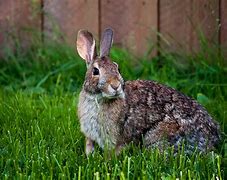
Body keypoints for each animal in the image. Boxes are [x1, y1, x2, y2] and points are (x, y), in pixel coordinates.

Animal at [76, 28, 220, 156]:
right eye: (96, 71)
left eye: (117, 68)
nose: (116, 85)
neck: (98, 98)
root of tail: (213, 139)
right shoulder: (90, 135)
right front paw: (90, 156)